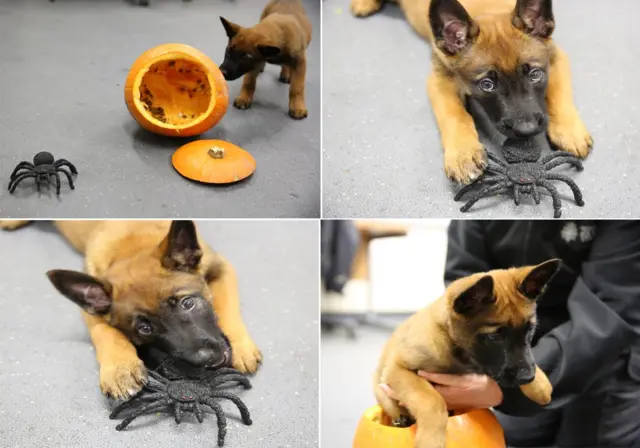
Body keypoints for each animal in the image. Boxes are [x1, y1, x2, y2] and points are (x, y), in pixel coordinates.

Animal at [0, 220, 260, 400]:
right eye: (144, 328)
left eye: (188, 303)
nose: (206, 359)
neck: (131, 246)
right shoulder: (92, 309)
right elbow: (105, 332)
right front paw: (120, 370)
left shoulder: (222, 267)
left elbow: (226, 306)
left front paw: (241, 347)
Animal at [352, 0, 592, 184]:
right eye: (487, 85)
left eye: (534, 74)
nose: (527, 130)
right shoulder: (439, 81)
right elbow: (455, 115)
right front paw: (463, 154)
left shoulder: (556, 57)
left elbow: (559, 94)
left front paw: (568, 131)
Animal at [376, 260, 560, 448]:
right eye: (494, 337)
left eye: (529, 330)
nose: (527, 377)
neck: (454, 344)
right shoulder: (397, 369)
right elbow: (431, 399)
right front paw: (431, 439)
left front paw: (540, 385)